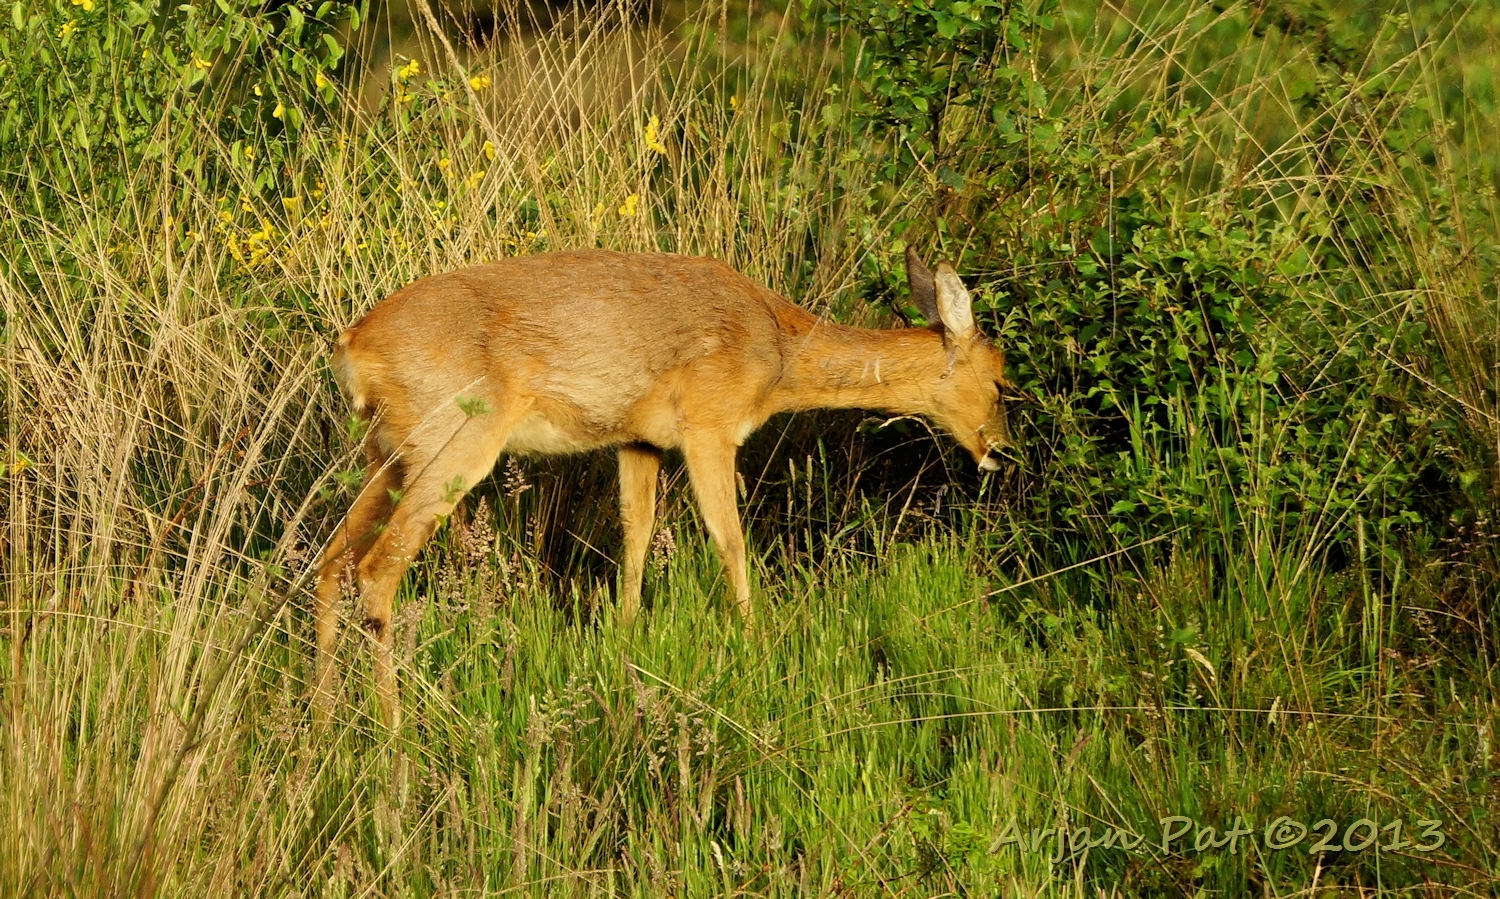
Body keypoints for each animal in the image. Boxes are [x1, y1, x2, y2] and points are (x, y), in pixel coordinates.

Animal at [312, 247, 1012, 725]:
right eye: (1001, 377)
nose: (1001, 452)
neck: (778, 348)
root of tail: (351, 346)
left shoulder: (637, 440)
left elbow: (636, 533)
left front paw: (622, 646)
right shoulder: (709, 427)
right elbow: (730, 540)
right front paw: (755, 649)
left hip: (387, 455)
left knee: (331, 562)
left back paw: (323, 720)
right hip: (450, 447)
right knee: (376, 571)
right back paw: (394, 733)